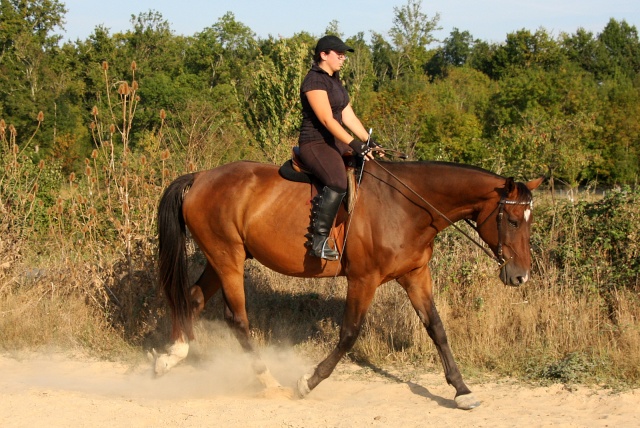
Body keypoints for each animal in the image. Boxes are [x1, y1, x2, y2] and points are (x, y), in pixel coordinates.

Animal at [152, 159, 544, 410]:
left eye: (528, 219)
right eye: (511, 220)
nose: (520, 276)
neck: (406, 207)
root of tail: (201, 177)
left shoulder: (415, 274)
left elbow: (436, 328)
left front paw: (462, 390)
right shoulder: (363, 279)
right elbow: (349, 333)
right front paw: (308, 382)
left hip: (220, 259)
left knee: (192, 299)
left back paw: (171, 357)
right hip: (227, 258)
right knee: (237, 319)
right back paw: (268, 380)